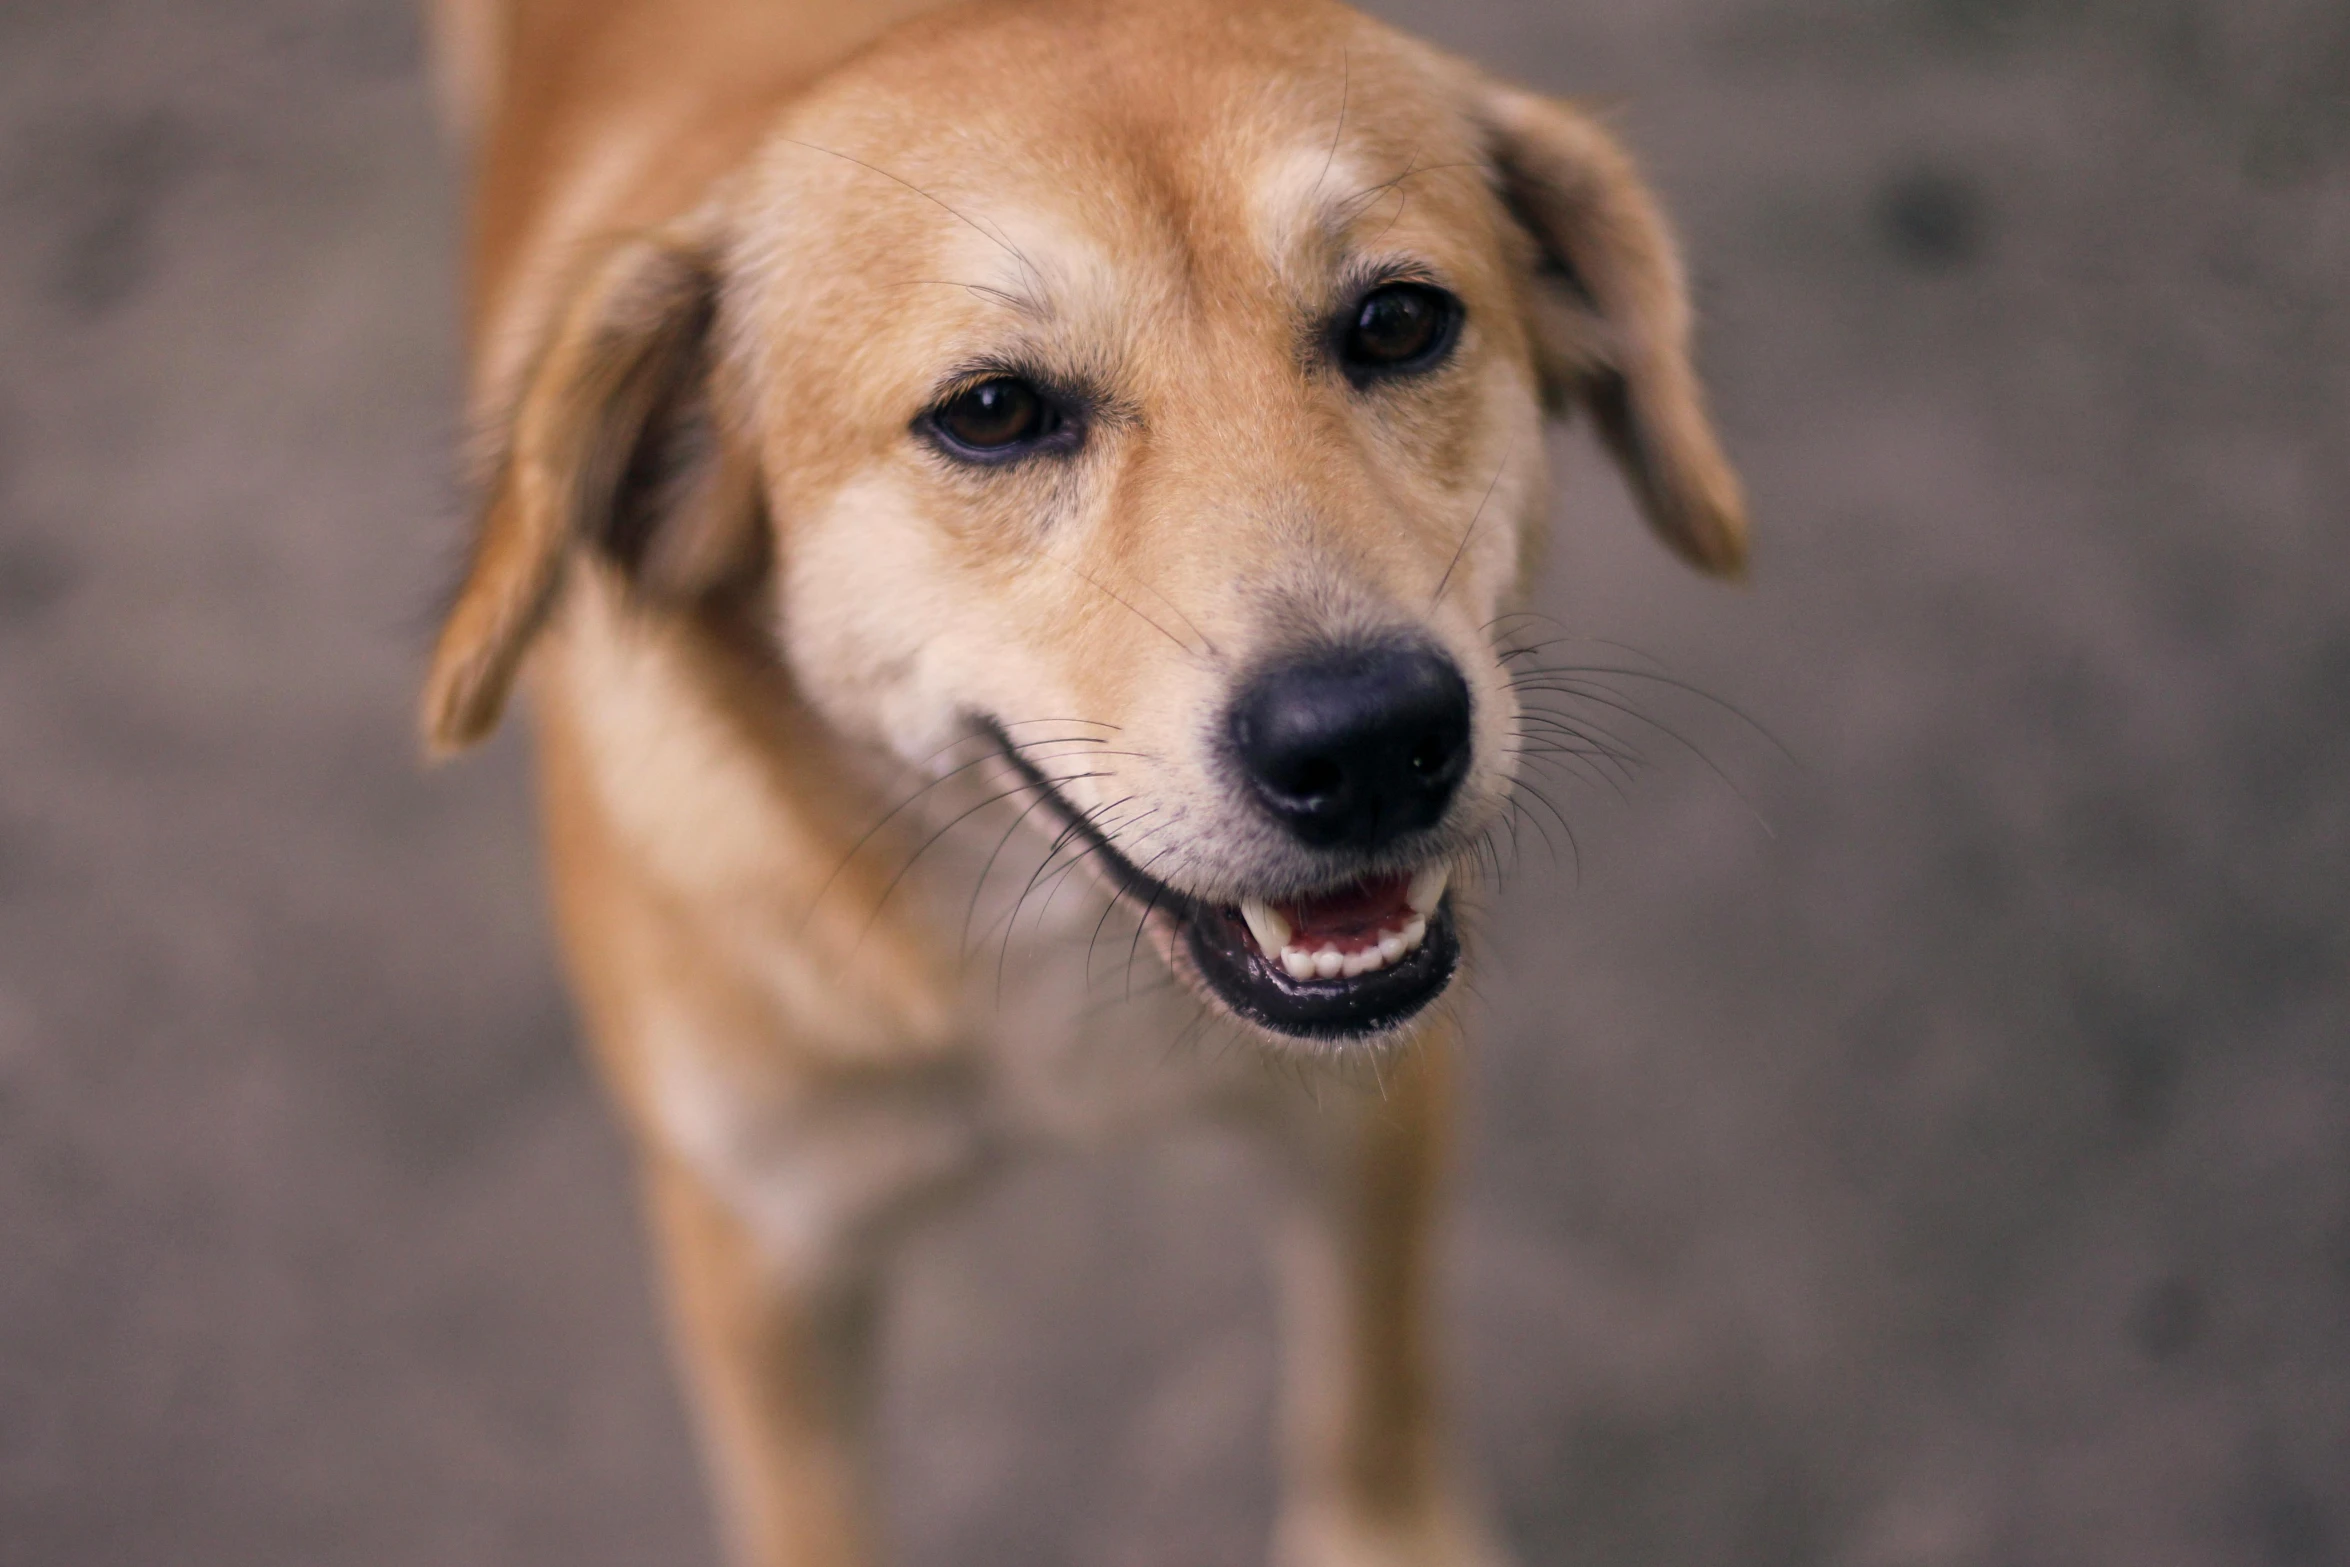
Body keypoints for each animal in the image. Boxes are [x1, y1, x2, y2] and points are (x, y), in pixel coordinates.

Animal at [418, 3, 1748, 1567]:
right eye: (992, 412)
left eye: (1400, 321)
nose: (1368, 739)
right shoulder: (760, 1252)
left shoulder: (1379, 1114)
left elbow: (1369, 1386)